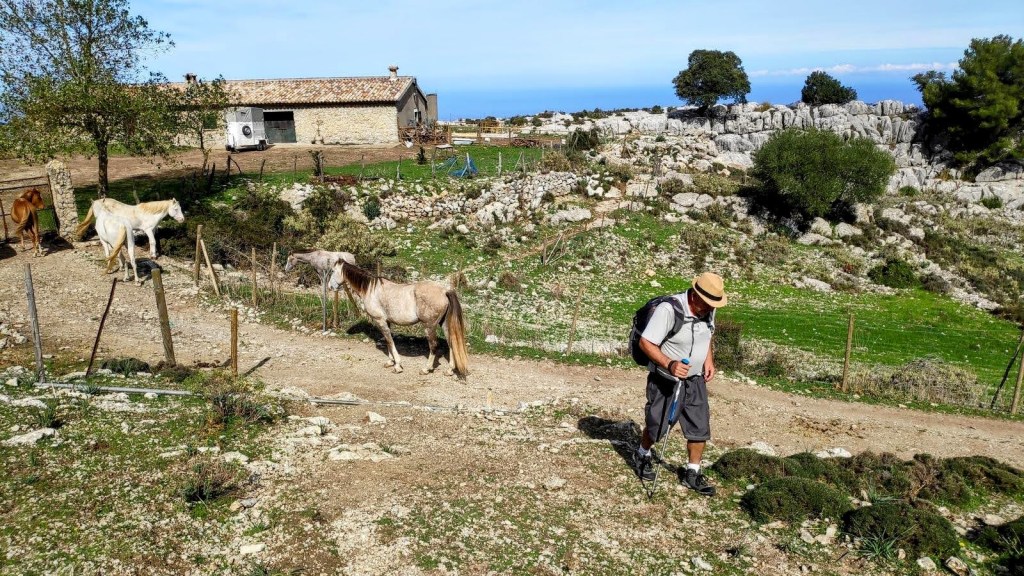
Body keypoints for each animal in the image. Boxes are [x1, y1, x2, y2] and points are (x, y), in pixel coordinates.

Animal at [329, 261, 469, 377]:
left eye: (333, 271)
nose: (330, 287)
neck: (370, 289)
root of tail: (444, 291)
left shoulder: (380, 321)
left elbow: (390, 341)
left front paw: (397, 366)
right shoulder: (387, 322)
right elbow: (388, 341)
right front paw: (390, 362)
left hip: (429, 326)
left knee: (434, 345)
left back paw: (426, 369)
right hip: (444, 324)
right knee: (451, 343)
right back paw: (450, 370)